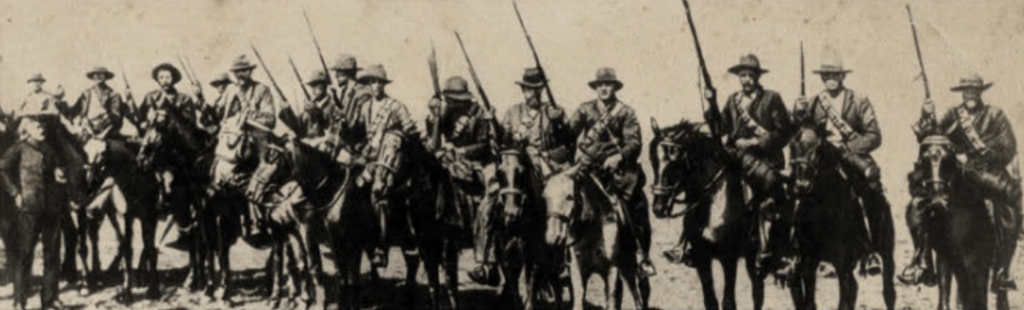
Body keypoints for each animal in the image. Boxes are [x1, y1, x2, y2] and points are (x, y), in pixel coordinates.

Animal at [647, 119, 761, 310]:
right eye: (653, 160)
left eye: (675, 161)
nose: (658, 208)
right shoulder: (701, 257)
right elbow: (710, 301)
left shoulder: (729, 258)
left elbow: (729, 302)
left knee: (757, 292)